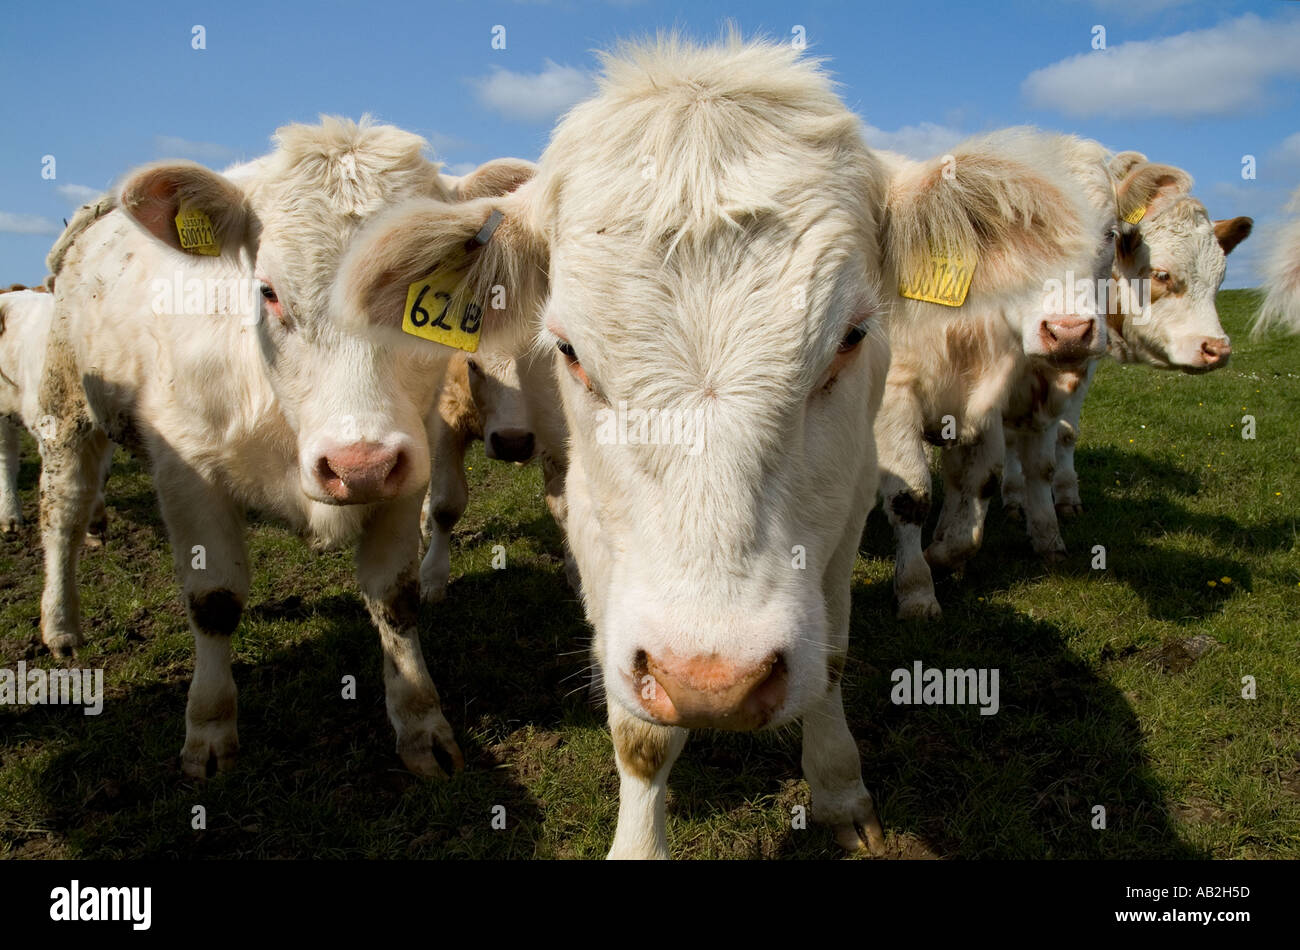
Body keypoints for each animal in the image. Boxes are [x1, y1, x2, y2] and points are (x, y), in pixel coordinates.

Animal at [39, 116, 527, 779]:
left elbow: (394, 597)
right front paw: (209, 728)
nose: (358, 467)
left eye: (426, 298)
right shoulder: (187, 470)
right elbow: (214, 599)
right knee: (63, 514)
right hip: (66, 409)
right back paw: (61, 624)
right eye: (268, 291)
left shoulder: (409, 465)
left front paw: (421, 722)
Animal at [873, 129, 1118, 621]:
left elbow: (977, 484)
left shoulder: (983, 405)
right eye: (1017, 237)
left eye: (1112, 233)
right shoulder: (895, 398)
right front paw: (917, 590)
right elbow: (911, 496)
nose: (1068, 331)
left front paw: (944, 554)